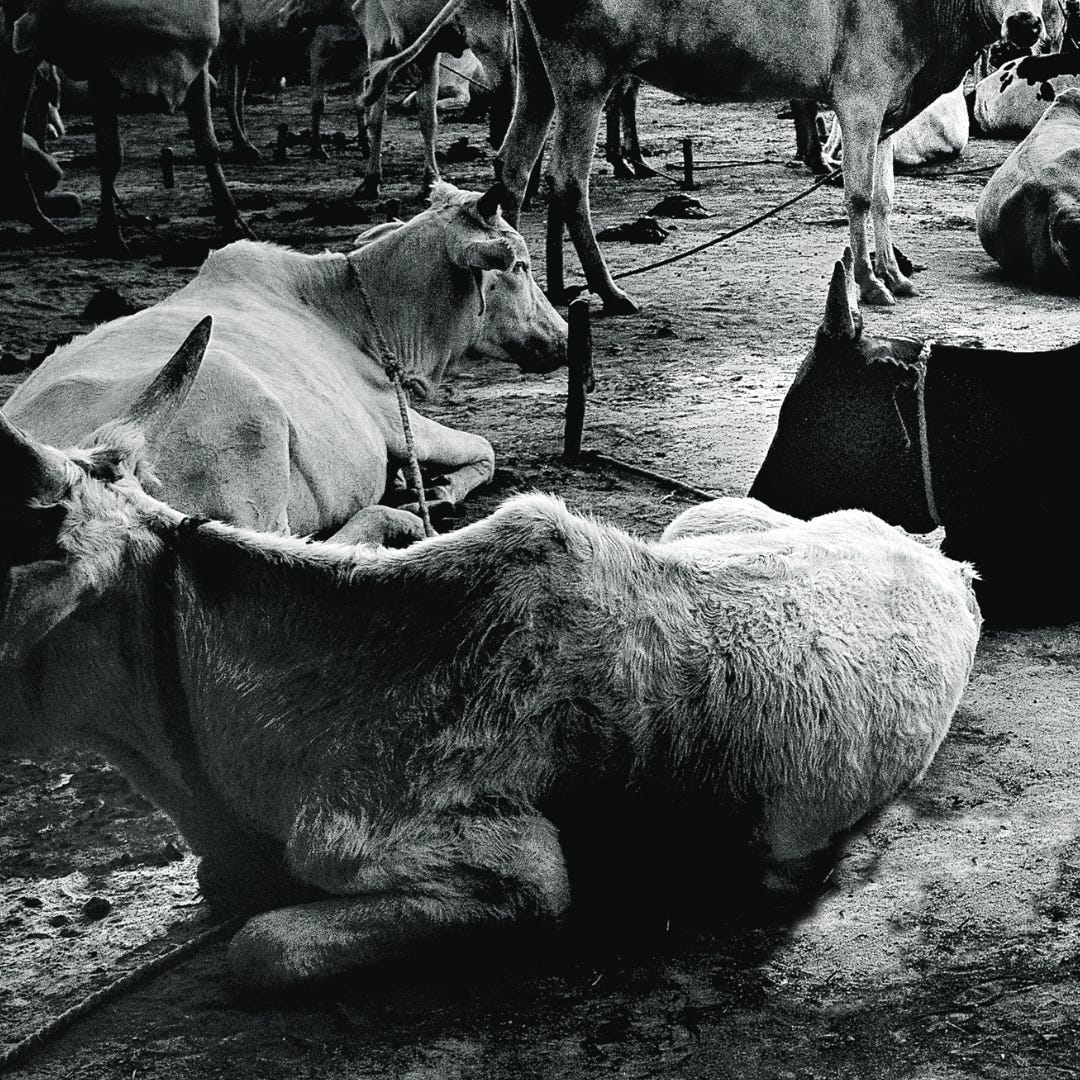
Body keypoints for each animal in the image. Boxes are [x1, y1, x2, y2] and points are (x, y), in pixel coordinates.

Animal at [3, 183, 567, 546]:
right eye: (520, 266)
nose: (564, 339)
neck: (354, 310)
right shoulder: (393, 418)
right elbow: (485, 448)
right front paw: (438, 492)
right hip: (252, 427)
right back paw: (394, 519)